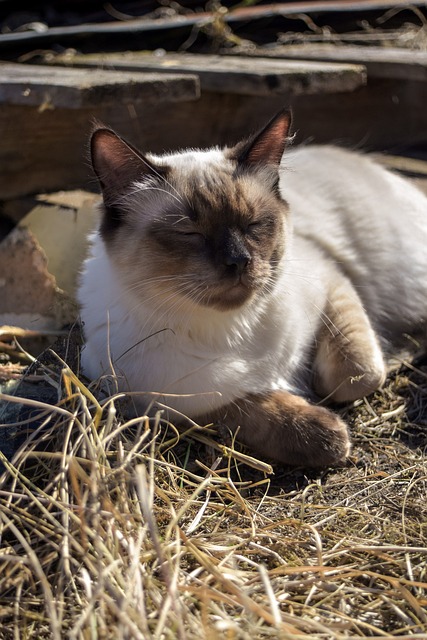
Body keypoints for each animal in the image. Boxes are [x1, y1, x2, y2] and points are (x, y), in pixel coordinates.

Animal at [77, 111, 427, 464]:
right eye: (190, 233)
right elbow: (250, 410)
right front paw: (326, 436)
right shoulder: (167, 400)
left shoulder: (331, 279)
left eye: (253, 225)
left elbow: (354, 377)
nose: (238, 260)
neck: (232, 330)